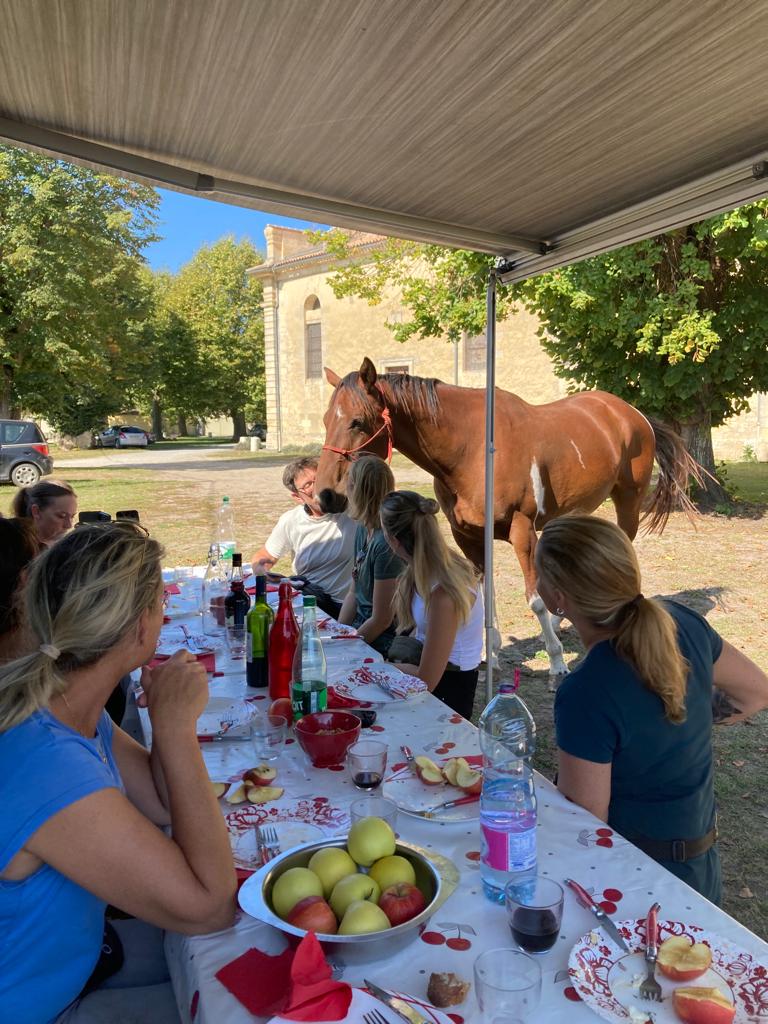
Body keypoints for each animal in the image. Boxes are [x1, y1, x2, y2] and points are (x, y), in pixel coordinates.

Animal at [315, 356, 700, 681]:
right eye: (325, 420)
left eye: (357, 421)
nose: (325, 495)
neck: (471, 448)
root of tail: (632, 413)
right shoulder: (469, 536)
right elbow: (487, 595)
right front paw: (493, 655)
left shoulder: (522, 530)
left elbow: (535, 599)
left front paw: (557, 663)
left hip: (628, 501)